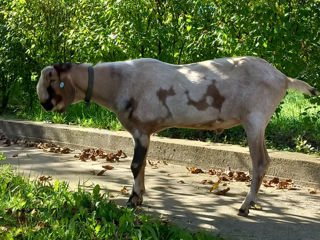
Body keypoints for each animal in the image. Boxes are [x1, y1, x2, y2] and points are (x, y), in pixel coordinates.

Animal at [37, 57, 318, 217]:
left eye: (52, 84)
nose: (44, 105)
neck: (117, 83)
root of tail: (283, 78)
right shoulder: (145, 133)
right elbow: (142, 165)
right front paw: (139, 196)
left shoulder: (140, 129)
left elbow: (135, 165)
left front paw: (133, 200)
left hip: (255, 119)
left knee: (260, 163)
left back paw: (244, 207)